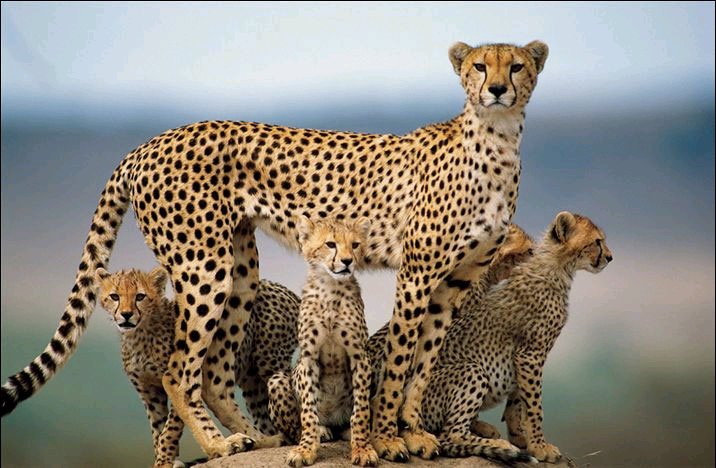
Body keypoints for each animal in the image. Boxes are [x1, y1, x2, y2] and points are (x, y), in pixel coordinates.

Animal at [96, 267, 299, 467]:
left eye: (140, 296)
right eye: (115, 296)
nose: (126, 314)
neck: (139, 333)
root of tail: (281, 288)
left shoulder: (178, 379)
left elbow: (170, 428)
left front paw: (165, 459)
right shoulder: (149, 393)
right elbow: (157, 428)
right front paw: (165, 458)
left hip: (270, 362)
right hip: (251, 382)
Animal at [268, 217, 378, 467]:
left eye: (355, 245)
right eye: (330, 244)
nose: (347, 261)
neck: (330, 287)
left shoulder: (360, 356)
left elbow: (361, 410)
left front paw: (362, 448)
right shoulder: (308, 359)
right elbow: (308, 411)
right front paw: (306, 449)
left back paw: (345, 431)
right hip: (277, 380)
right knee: (294, 428)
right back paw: (321, 431)